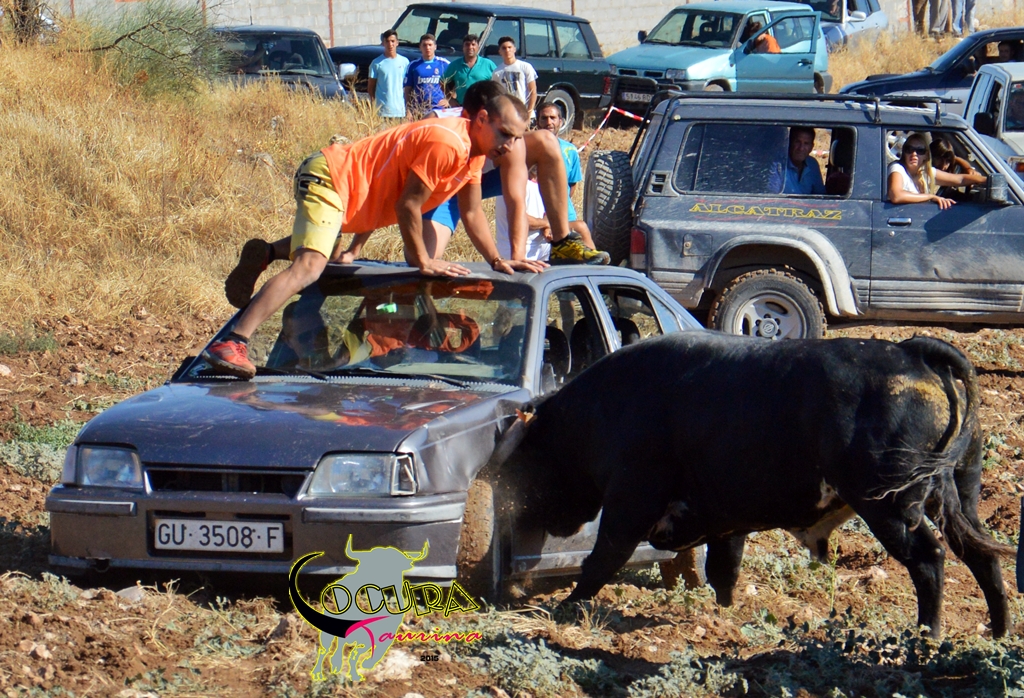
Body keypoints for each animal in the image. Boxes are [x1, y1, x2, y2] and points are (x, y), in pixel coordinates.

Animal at [492, 332, 1012, 638]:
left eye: (526, 465)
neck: (607, 406)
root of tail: (910, 349)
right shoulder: (726, 523)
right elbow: (724, 574)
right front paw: (722, 618)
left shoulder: (629, 505)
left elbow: (601, 561)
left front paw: (563, 610)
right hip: (958, 497)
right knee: (980, 555)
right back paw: (998, 632)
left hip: (891, 508)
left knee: (929, 559)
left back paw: (928, 635)